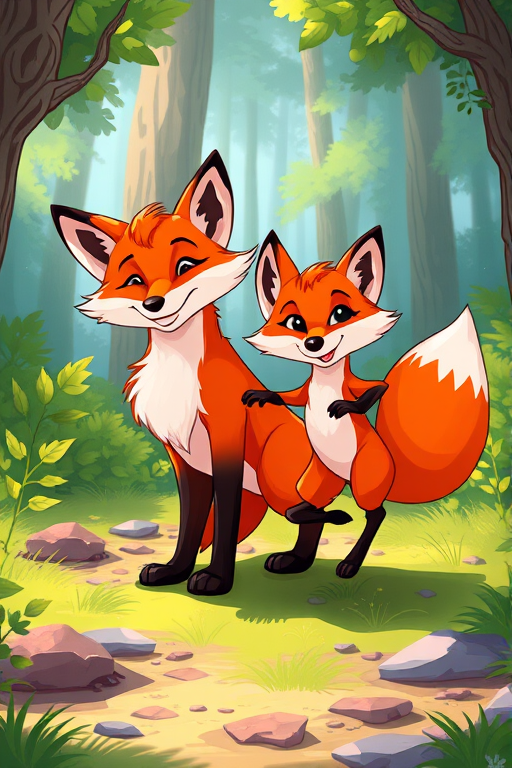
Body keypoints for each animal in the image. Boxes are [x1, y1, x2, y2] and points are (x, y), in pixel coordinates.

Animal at [50, 151, 350, 597]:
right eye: (134, 280)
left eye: (186, 265)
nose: (155, 303)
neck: (178, 372)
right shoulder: (185, 460)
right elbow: (191, 523)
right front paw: (174, 570)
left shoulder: (225, 443)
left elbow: (223, 522)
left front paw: (215, 579)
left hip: (276, 482)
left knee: (312, 515)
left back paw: (296, 560)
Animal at [242, 227, 490, 578]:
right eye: (294, 323)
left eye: (340, 314)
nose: (314, 343)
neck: (325, 377)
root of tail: (393, 470)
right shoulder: (304, 391)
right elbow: (287, 396)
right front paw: (263, 396)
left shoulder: (358, 386)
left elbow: (376, 389)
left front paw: (346, 408)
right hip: (317, 479)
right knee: (301, 509)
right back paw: (318, 535)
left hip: (363, 479)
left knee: (376, 515)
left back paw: (350, 561)